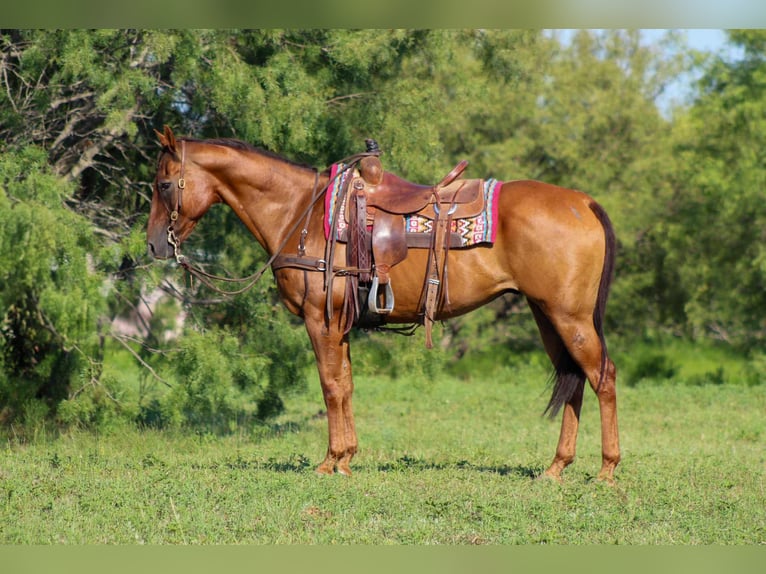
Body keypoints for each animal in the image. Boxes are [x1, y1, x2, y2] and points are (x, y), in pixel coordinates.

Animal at [146, 125, 620, 483]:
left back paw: (607, 470)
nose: (153, 244)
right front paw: (346, 458)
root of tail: (583, 202)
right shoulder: (340, 324)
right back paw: (556, 467)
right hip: (547, 316)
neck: (299, 213)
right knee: (575, 380)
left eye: (164, 184)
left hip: (570, 317)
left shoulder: (320, 321)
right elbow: (346, 384)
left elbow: (330, 386)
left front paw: (330, 461)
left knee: (603, 377)